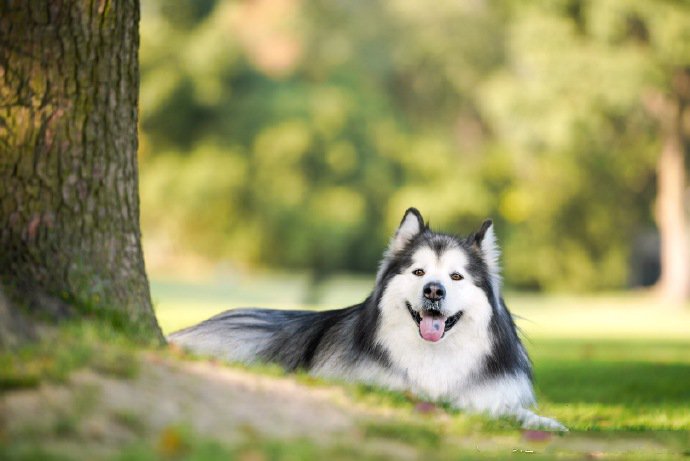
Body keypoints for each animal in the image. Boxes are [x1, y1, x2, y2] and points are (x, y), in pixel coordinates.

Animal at [168, 208, 564, 432]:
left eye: (456, 277)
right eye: (419, 272)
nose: (434, 291)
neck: (433, 356)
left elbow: (508, 410)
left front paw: (545, 422)